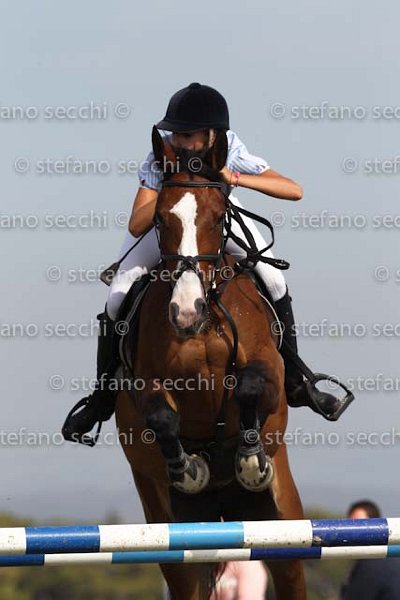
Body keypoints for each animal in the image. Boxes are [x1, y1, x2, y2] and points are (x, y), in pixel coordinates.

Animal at [115, 129, 307, 600]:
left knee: (291, 570)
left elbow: (251, 385)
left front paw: (250, 459)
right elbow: (162, 417)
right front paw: (189, 468)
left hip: (283, 519)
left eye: (220, 217)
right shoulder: (145, 385)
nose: (185, 313)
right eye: (160, 219)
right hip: (167, 526)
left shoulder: (270, 371)